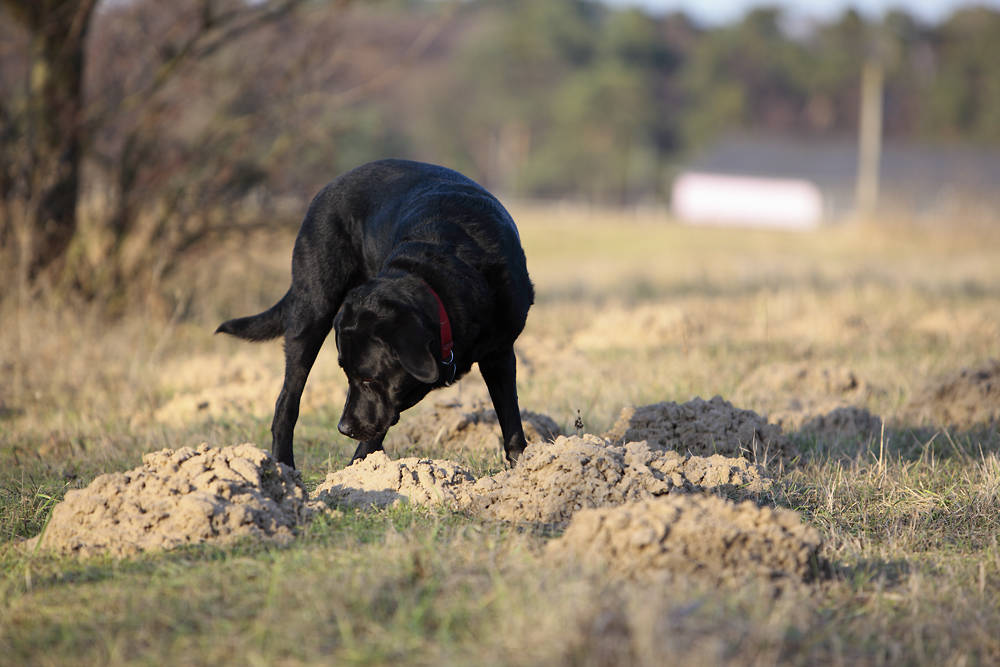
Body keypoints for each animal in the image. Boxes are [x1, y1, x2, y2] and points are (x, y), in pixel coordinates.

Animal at [216, 159, 536, 470]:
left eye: (368, 379)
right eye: (347, 375)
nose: (343, 428)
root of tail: (329, 186)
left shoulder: (499, 353)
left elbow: (510, 416)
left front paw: (521, 468)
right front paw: (362, 471)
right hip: (312, 310)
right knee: (287, 401)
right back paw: (284, 465)